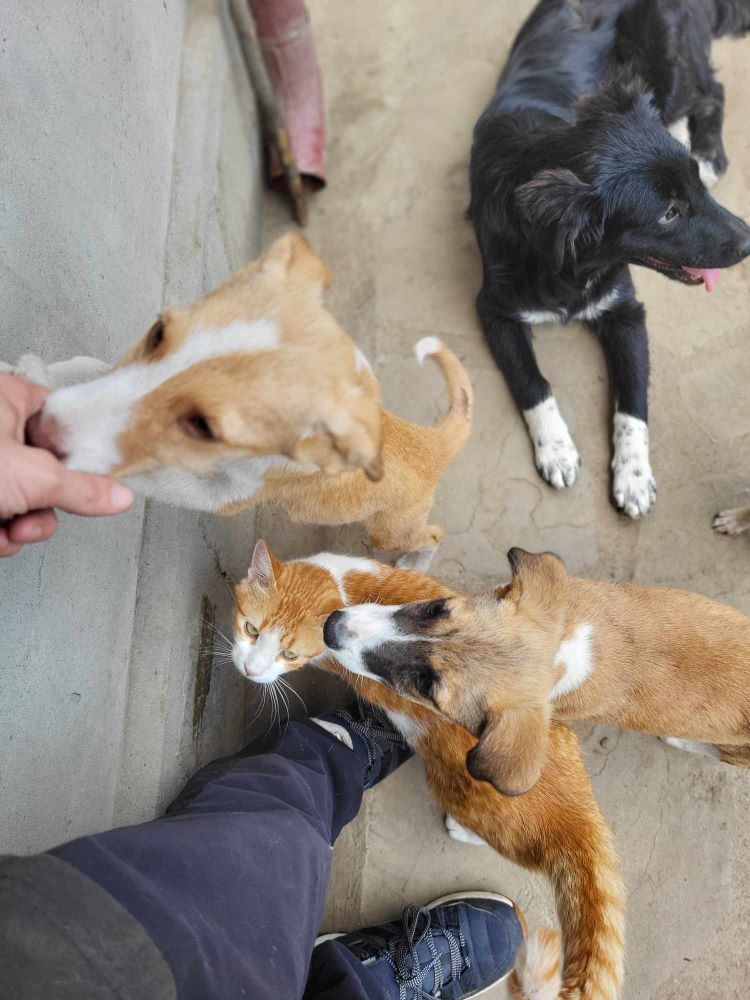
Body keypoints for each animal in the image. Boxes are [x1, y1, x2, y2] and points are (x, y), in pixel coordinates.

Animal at [5, 233, 472, 564]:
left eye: (204, 428)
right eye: (157, 333)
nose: (39, 431)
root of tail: (434, 443)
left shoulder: (220, 495)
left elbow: (154, 473)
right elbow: (84, 370)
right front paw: (25, 374)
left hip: (391, 530)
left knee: (433, 534)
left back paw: (413, 564)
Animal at [234, 540, 628, 1000]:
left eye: (289, 653)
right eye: (251, 628)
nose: (249, 670)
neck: (343, 587)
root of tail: (580, 820)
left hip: (459, 794)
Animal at [470, 0, 750, 516]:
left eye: (692, 189)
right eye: (669, 213)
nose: (748, 243)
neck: (570, 266)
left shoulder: (626, 311)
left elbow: (632, 401)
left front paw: (634, 478)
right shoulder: (494, 310)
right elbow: (533, 383)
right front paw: (557, 449)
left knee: (710, 91)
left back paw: (707, 149)